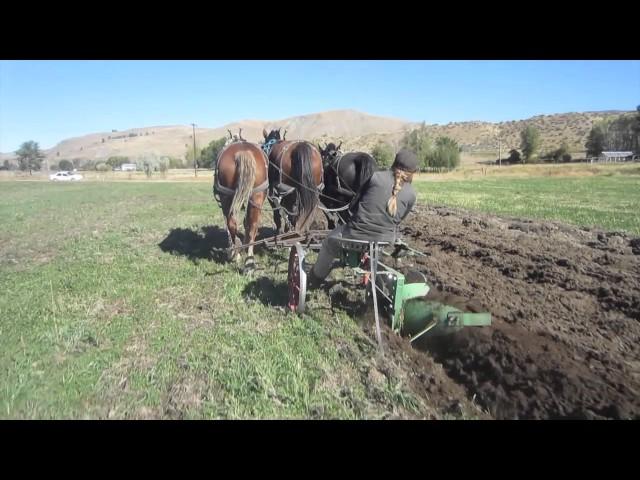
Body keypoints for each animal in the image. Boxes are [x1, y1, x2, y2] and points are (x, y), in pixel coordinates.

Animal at [212, 138, 268, 270]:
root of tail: (243, 153)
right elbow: (247, 223)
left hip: (226, 198)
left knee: (232, 224)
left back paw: (236, 254)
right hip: (256, 196)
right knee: (252, 225)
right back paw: (249, 258)